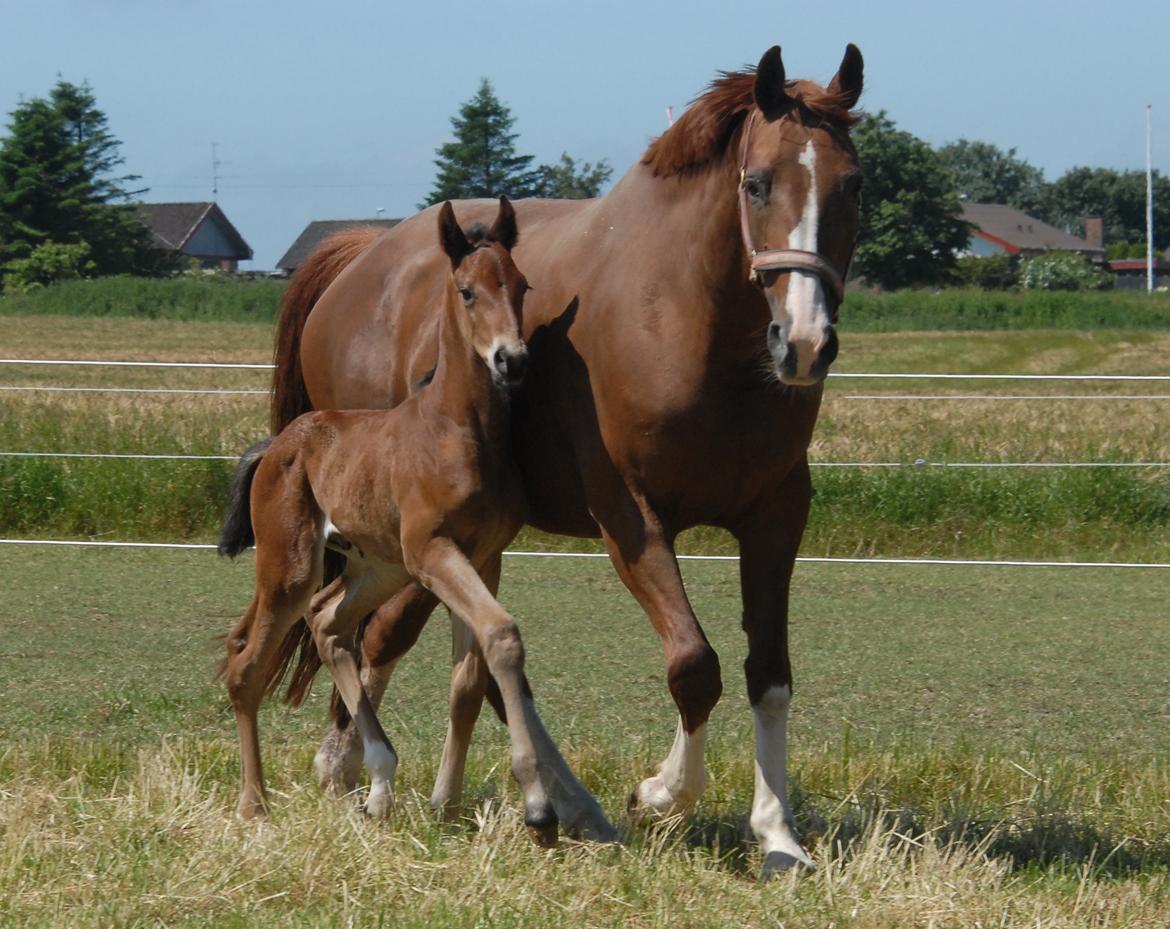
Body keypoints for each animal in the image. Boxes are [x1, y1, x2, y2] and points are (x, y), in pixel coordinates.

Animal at [222, 198, 617, 842]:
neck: (456, 430)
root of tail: (277, 445)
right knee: (247, 667)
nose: (513, 360)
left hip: (378, 568)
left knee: (329, 622)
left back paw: (379, 781)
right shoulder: (435, 551)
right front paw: (537, 809)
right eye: (466, 291)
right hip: (292, 569)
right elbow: (502, 637)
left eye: (521, 285)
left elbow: (470, 678)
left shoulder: (483, 556)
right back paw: (256, 806)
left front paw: (451, 807)